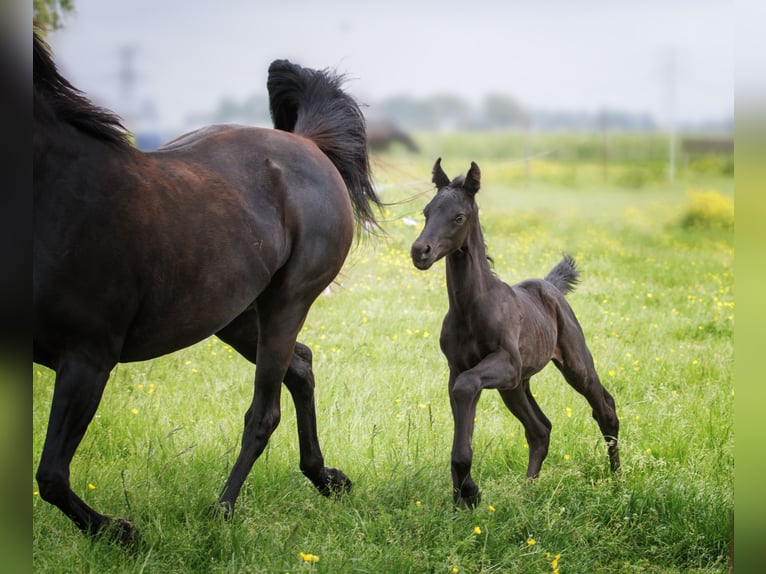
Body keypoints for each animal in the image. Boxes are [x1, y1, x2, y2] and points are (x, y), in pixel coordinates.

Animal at [33, 31, 380, 544]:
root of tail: (306, 143)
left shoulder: (86, 359)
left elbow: (52, 475)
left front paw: (121, 533)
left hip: (286, 302)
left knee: (264, 412)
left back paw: (224, 510)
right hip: (233, 314)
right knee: (301, 366)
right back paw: (326, 478)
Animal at [412, 160, 620, 510]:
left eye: (459, 216)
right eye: (427, 211)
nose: (420, 251)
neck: (471, 307)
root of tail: (550, 285)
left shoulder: (503, 364)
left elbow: (467, 388)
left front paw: (469, 492)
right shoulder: (460, 370)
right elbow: (462, 415)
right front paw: (462, 498)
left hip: (573, 365)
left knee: (605, 408)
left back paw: (618, 482)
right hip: (516, 386)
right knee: (540, 429)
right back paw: (528, 491)